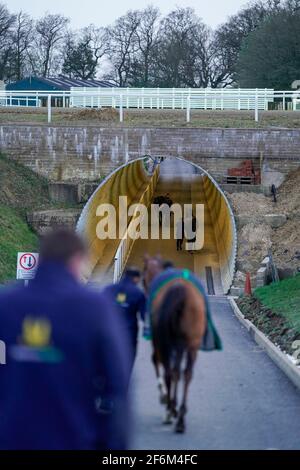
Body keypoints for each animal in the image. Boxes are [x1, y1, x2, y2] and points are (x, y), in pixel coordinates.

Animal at [143, 258, 206, 434]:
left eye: (143, 276)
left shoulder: (159, 342)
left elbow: (156, 361)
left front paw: (164, 398)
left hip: (169, 343)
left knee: (170, 371)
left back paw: (170, 412)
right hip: (191, 345)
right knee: (185, 373)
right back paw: (180, 419)